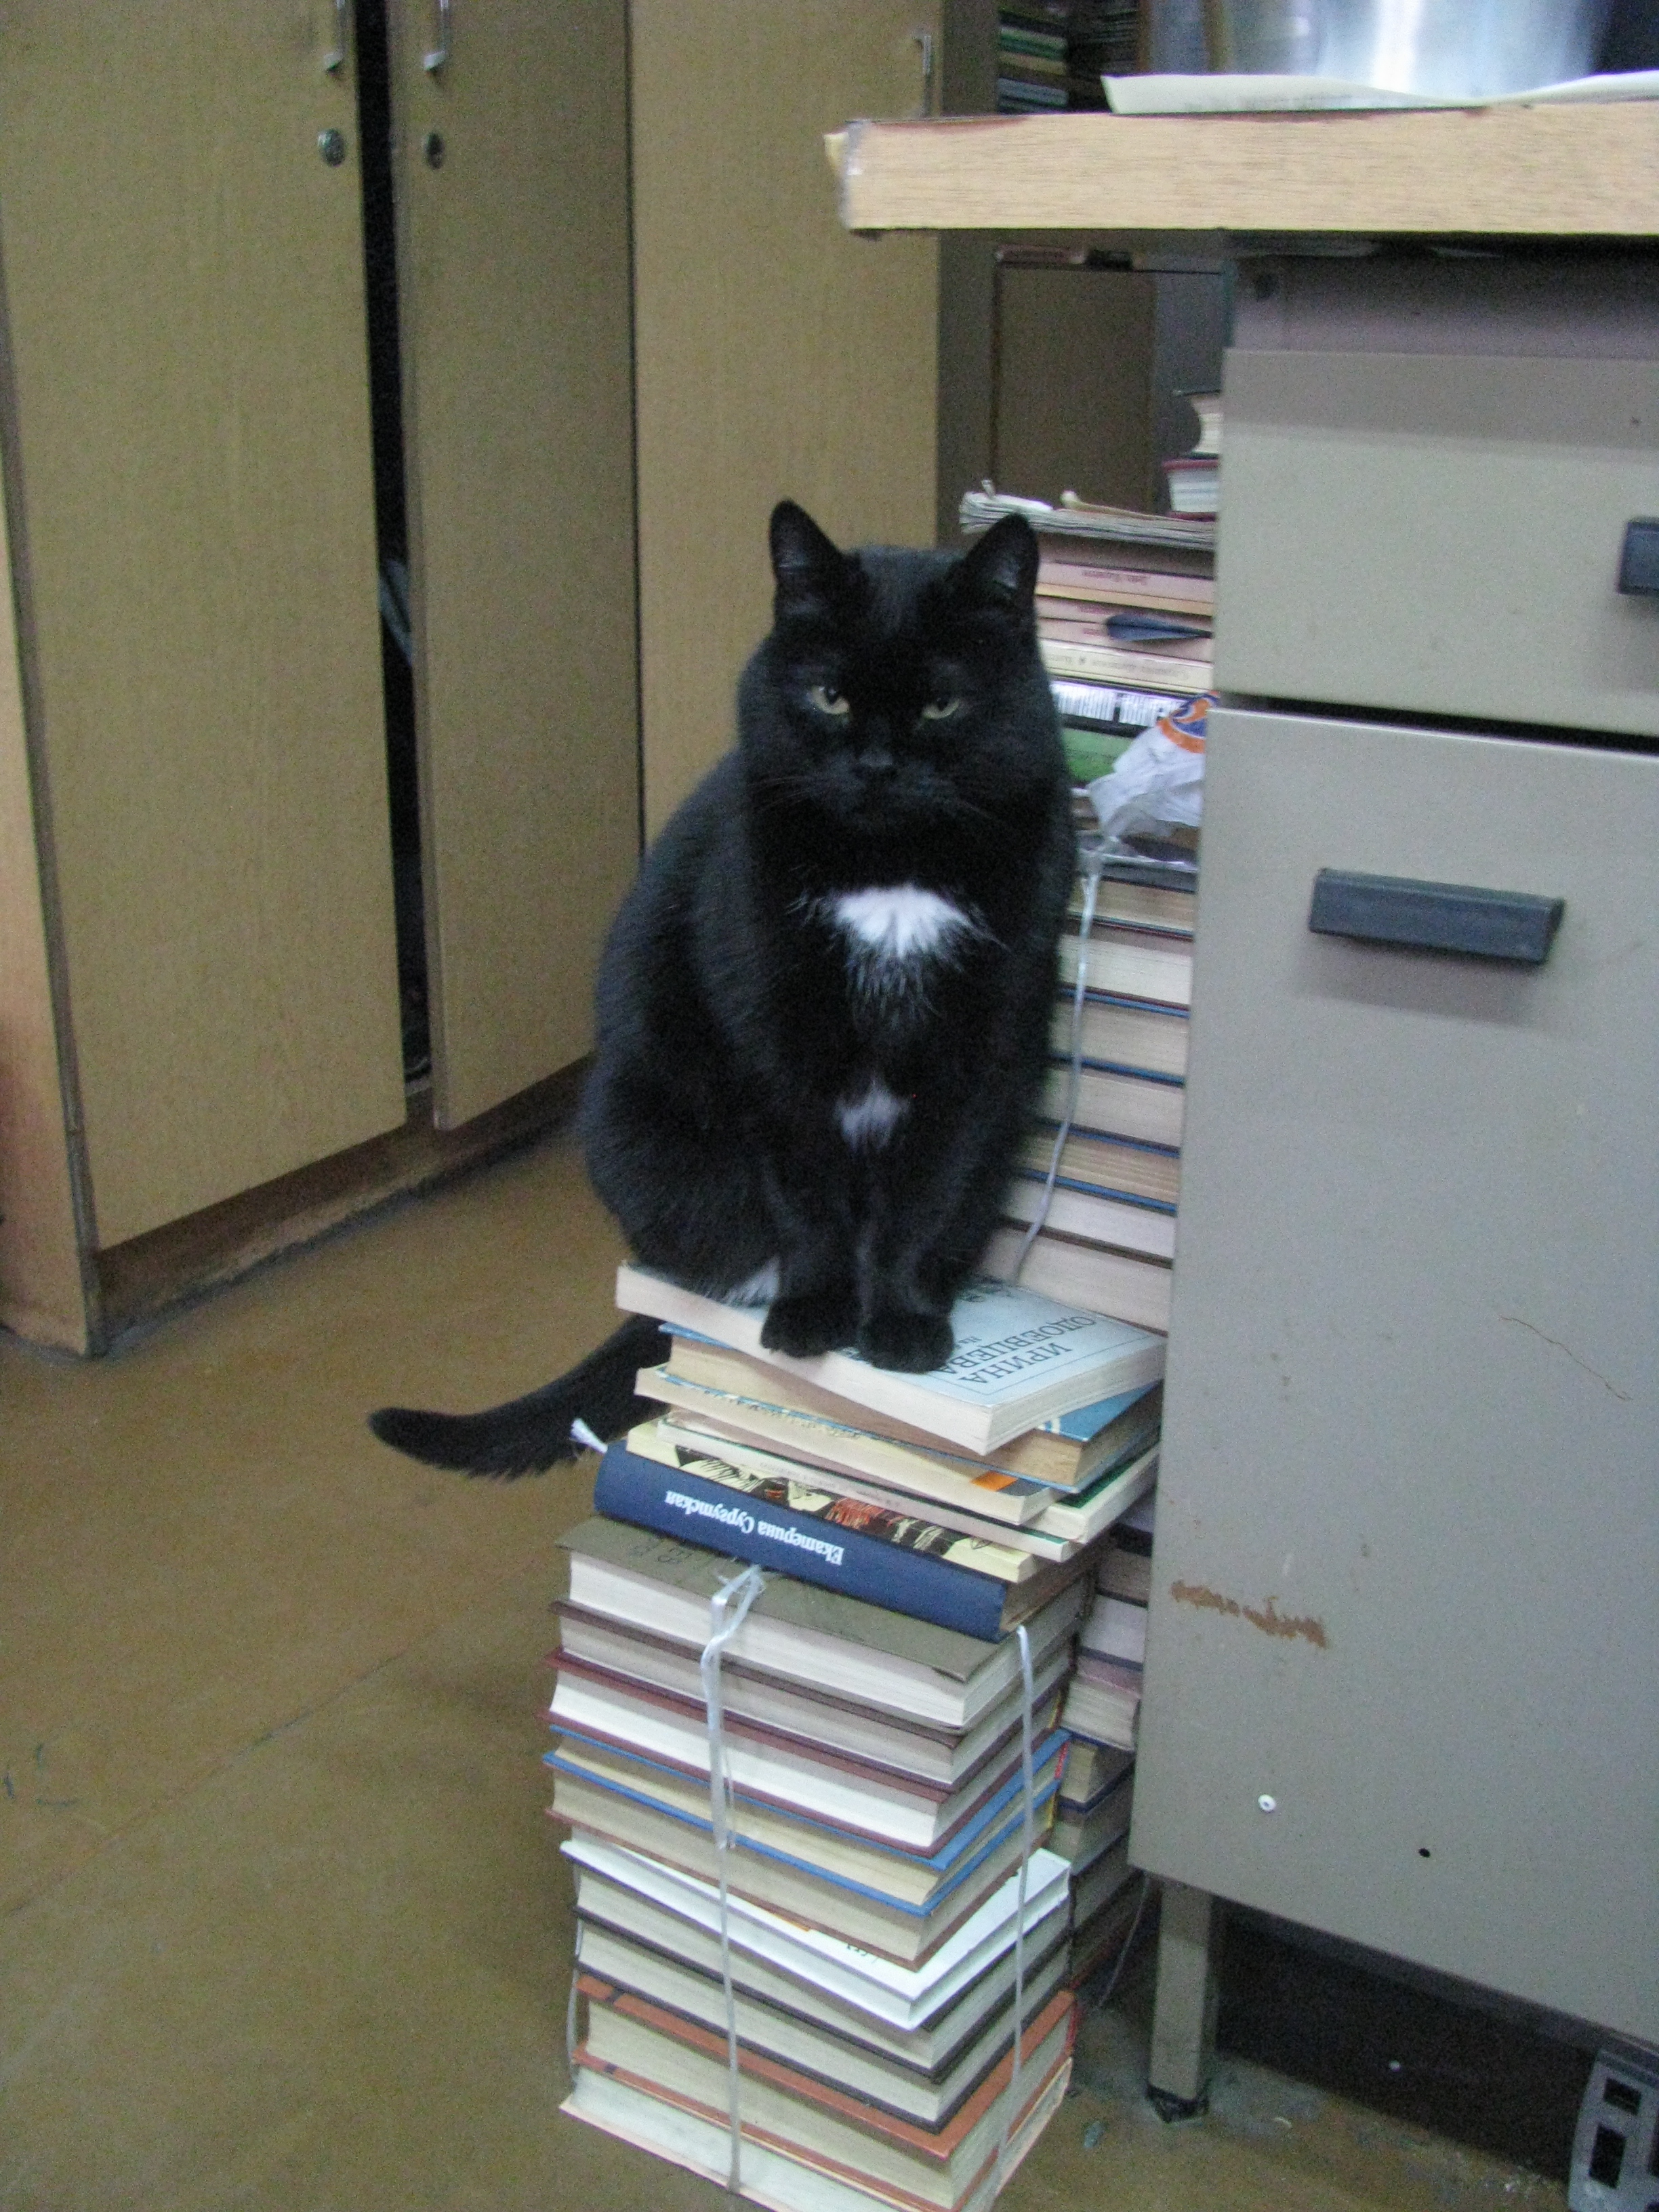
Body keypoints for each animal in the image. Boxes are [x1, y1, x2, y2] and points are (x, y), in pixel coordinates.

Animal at [369, 498, 1075, 1475]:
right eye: (829, 697)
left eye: (942, 702)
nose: (877, 767)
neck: (892, 872)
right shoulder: (772, 1041)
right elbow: (807, 1199)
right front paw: (812, 1316)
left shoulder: (982, 1053)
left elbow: (927, 1196)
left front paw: (901, 1324)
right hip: (642, 1137)